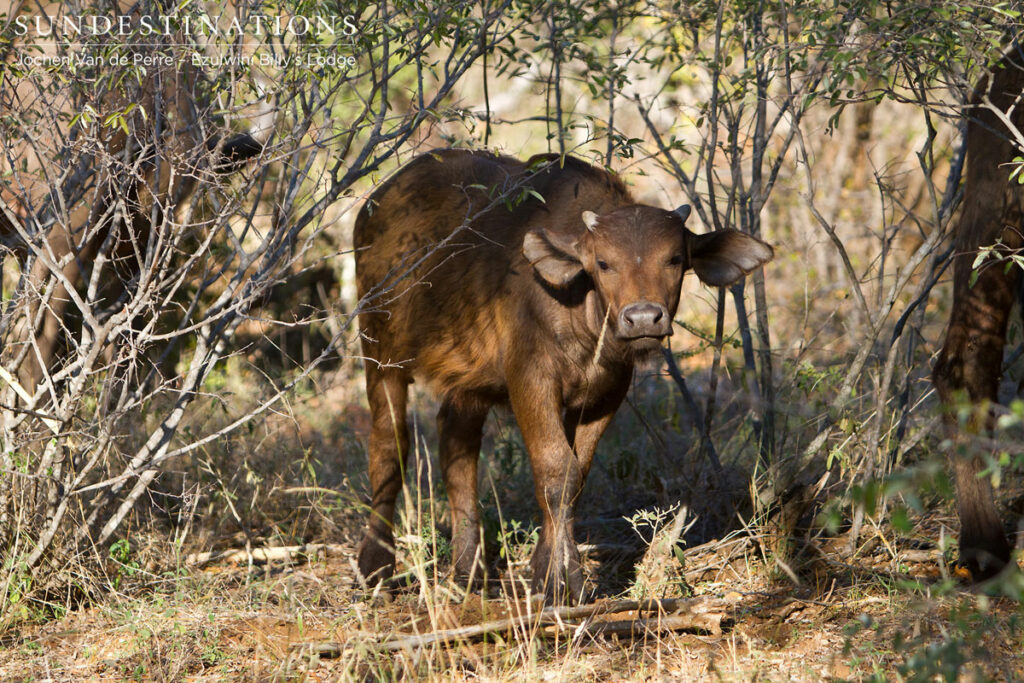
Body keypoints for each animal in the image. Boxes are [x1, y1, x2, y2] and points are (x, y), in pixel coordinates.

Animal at [353, 149, 774, 604]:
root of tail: (375, 205)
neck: (581, 313)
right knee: (389, 446)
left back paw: (468, 571)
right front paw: (561, 579)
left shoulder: (606, 394)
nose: (644, 317)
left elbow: (577, 475)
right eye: (603, 263)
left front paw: (545, 570)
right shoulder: (530, 380)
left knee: (456, 449)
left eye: (675, 260)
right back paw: (375, 568)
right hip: (380, 351)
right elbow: (555, 469)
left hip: (467, 383)